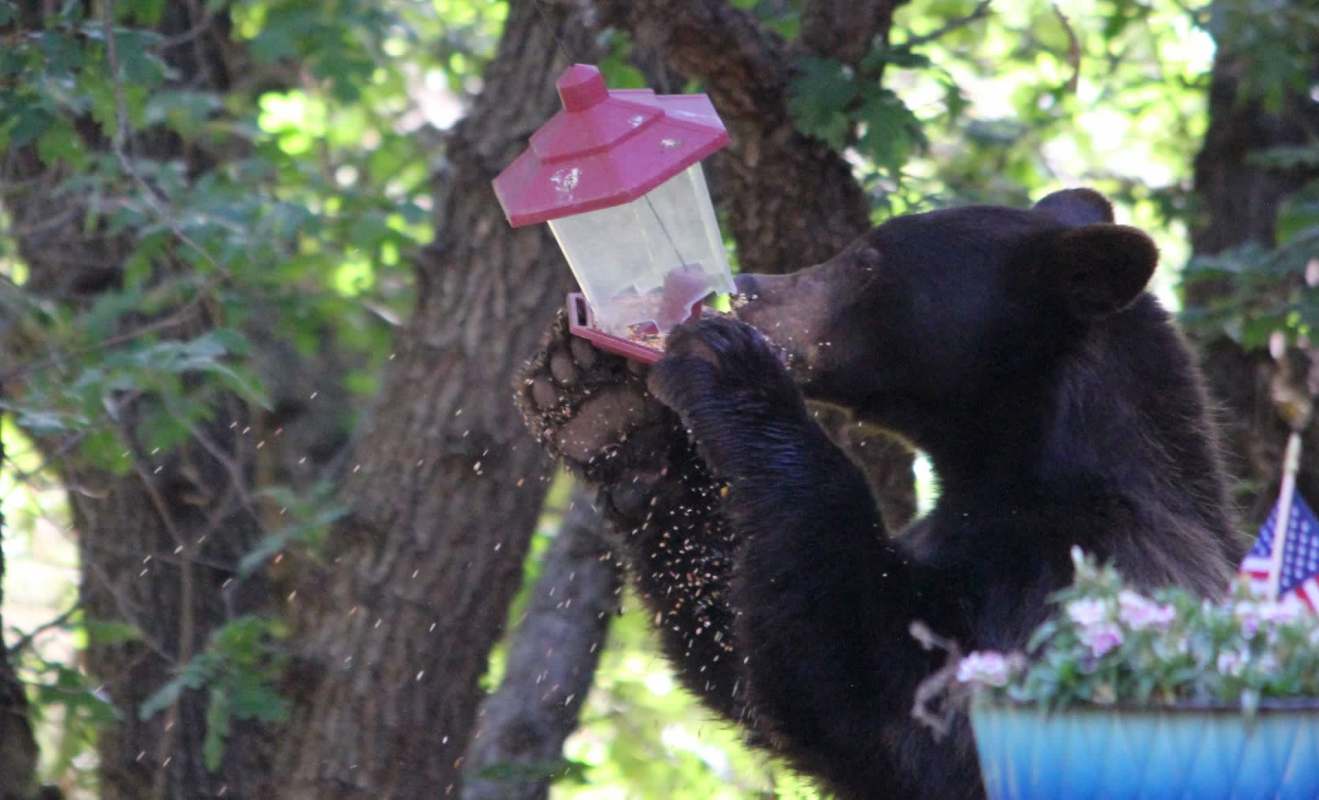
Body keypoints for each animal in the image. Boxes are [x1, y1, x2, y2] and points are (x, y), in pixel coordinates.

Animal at [517, 189, 1243, 799]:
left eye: (866, 261)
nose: (744, 289)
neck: (1008, 473)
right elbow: (735, 630)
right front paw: (599, 404)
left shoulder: (1090, 572)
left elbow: (900, 713)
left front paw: (729, 366)